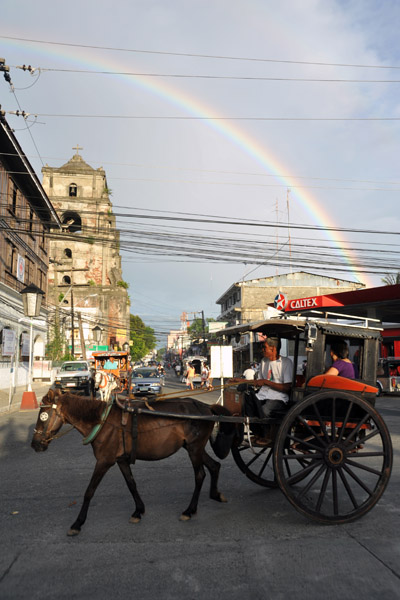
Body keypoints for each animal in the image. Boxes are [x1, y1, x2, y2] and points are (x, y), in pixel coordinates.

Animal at [30, 392, 230, 536]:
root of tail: (206, 407)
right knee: (214, 466)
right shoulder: (120, 460)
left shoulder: (104, 461)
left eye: (43, 415)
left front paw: (77, 523)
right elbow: (131, 484)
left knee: (200, 475)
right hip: (192, 447)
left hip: (195, 449)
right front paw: (138, 511)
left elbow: (89, 491)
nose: (35, 444)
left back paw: (189, 510)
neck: (102, 421)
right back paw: (216, 495)